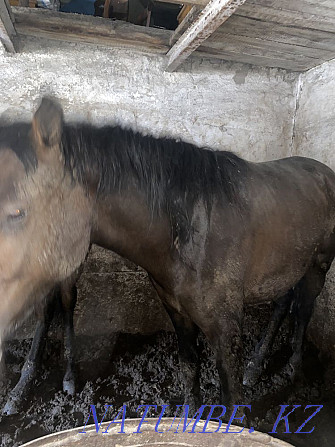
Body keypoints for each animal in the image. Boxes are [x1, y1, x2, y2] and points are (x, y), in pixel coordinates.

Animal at [0, 98, 335, 410]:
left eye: (16, 211)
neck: (189, 229)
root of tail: (325, 173)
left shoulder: (227, 328)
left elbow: (233, 404)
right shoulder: (177, 312)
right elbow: (189, 372)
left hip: (317, 267)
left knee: (303, 312)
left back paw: (292, 372)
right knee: (283, 303)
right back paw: (255, 367)